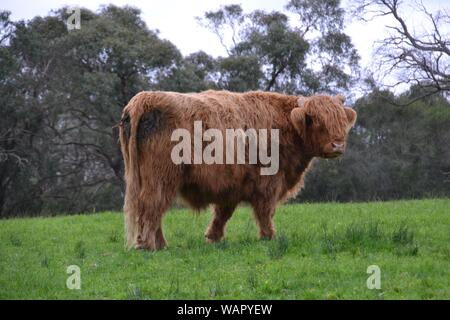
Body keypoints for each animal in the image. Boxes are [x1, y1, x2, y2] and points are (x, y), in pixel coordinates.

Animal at [118, 90, 356, 250]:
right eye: (315, 120)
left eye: (340, 119)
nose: (337, 145)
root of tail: (144, 98)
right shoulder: (268, 182)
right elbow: (265, 211)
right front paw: (269, 237)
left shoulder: (232, 185)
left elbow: (223, 214)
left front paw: (213, 237)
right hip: (161, 177)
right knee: (152, 205)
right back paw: (149, 245)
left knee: (154, 209)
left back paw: (160, 245)